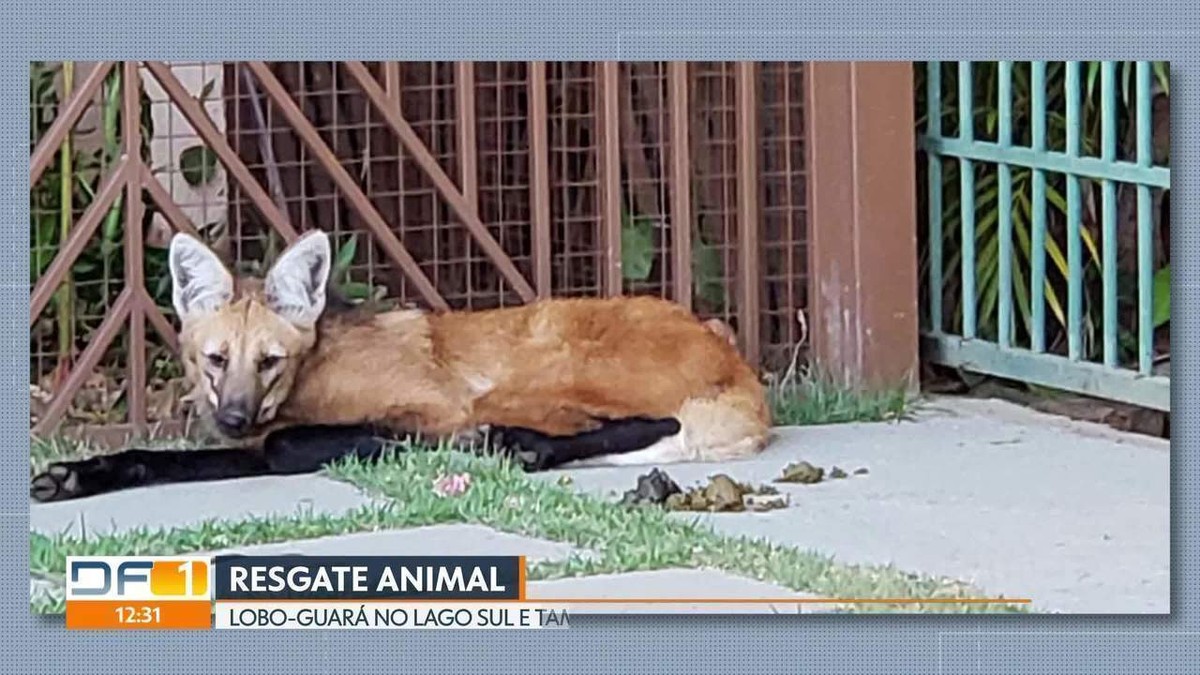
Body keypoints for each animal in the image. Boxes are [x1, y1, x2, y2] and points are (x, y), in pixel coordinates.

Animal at [35, 230, 768, 499]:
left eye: (269, 360)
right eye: (216, 359)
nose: (235, 415)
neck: (310, 377)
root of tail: (735, 360)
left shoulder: (437, 404)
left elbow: (287, 444)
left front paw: (378, 445)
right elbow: (169, 458)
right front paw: (76, 476)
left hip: (535, 371)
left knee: (648, 422)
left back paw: (516, 446)